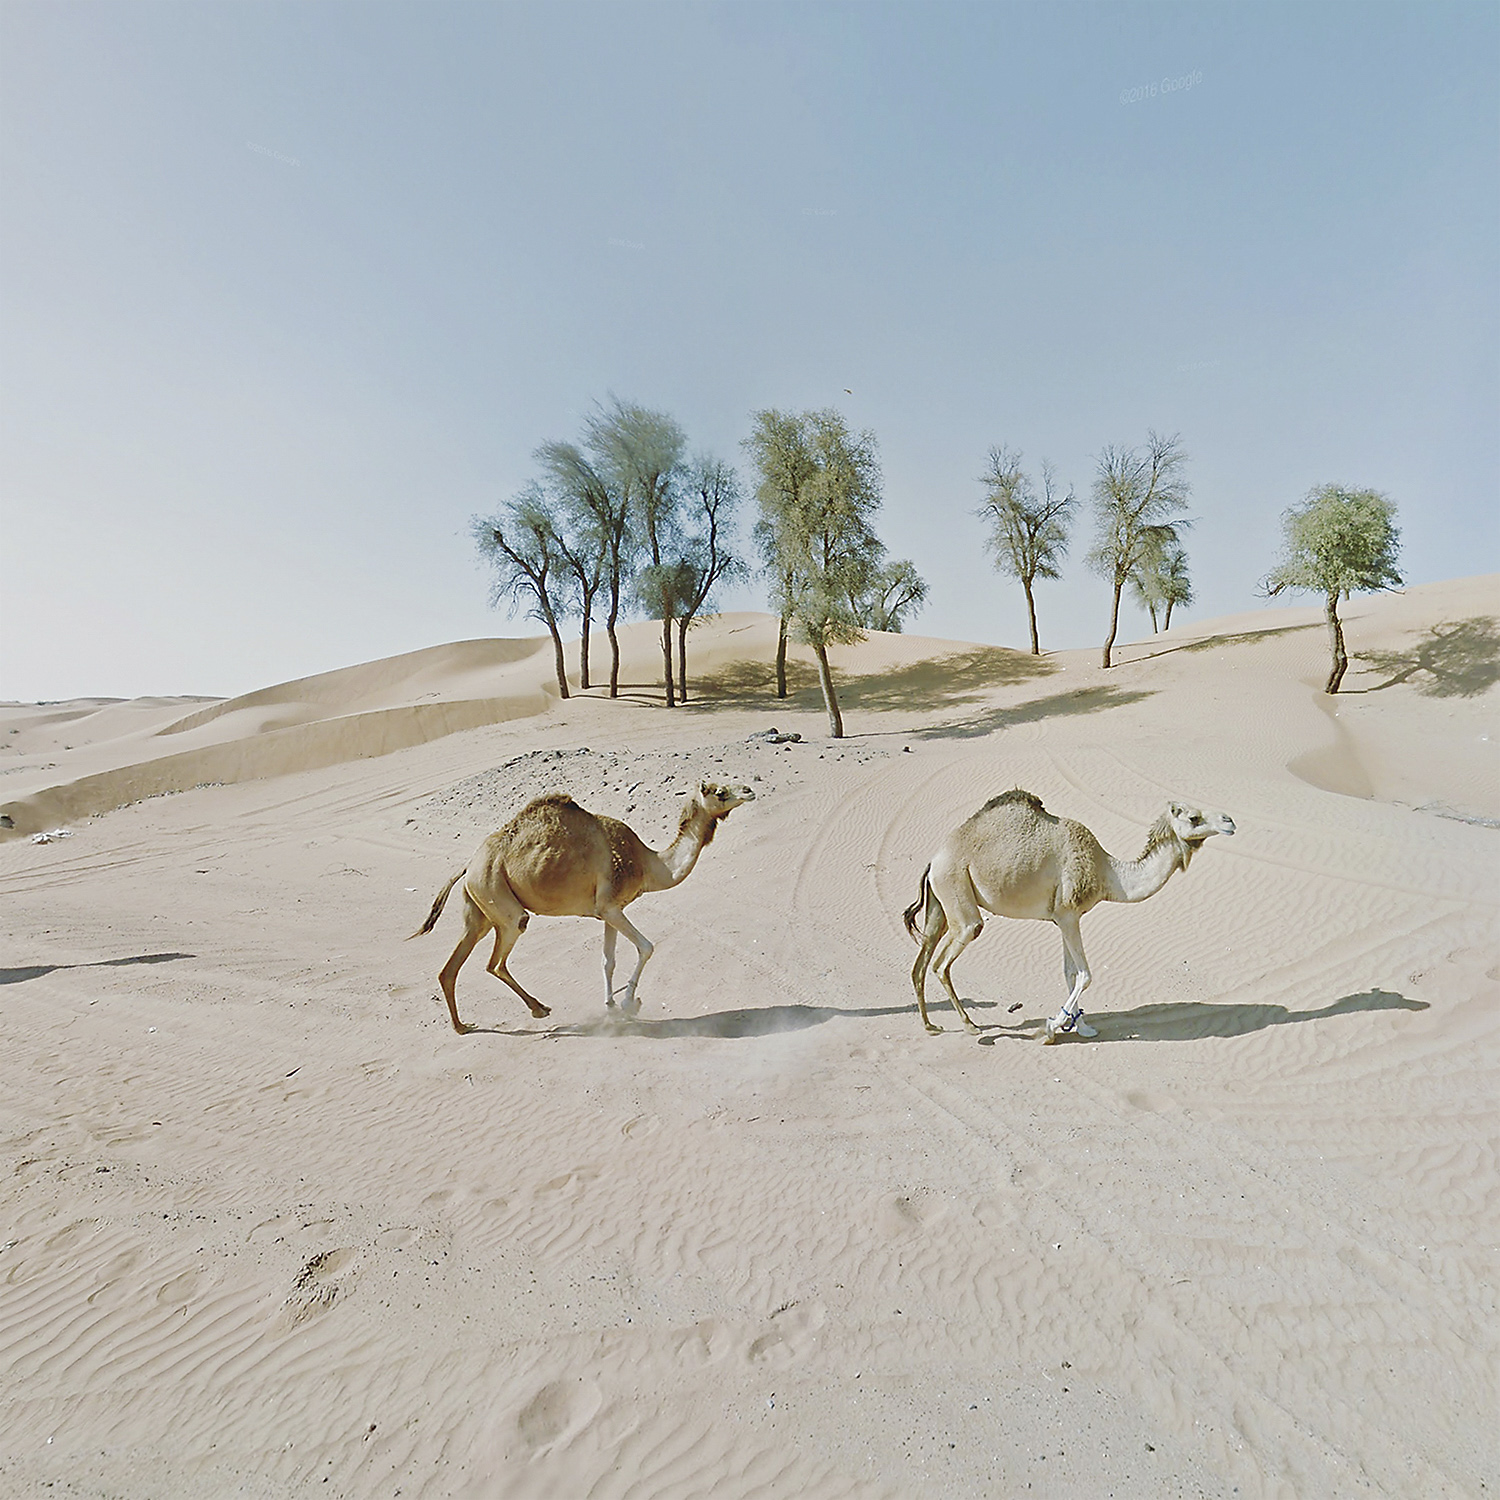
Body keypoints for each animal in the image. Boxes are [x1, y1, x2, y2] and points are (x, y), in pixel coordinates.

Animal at [411, 780, 755, 1032]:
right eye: (721, 791)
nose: (750, 789)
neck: (648, 864)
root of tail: (468, 866)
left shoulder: (609, 911)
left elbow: (608, 961)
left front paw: (612, 1007)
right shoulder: (611, 907)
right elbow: (646, 947)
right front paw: (628, 1003)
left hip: (479, 909)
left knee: (450, 968)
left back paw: (462, 1026)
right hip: (500, 900)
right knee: (496, 961)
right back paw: (539, 1009)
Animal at [903, 788, 1234, 1042]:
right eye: (1193, 817)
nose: (1229, 820)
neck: (1107, 873)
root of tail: (933, 861)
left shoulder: (1063, 918)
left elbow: (1070, 973)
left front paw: (1082, 1025)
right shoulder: (1068, 915)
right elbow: (1085, 974)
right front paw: (1051, 1028)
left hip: (940, 905)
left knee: (921, 962)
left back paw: (930, 1025)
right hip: (957, 893)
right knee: (943, 961)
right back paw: (971, 1027)